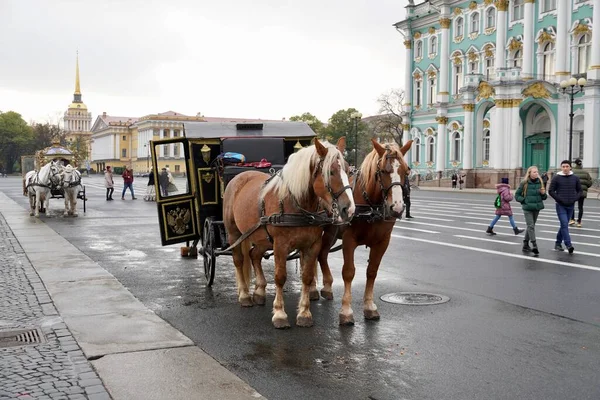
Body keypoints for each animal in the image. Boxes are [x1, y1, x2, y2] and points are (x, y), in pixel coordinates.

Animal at [224, 138, 356, 328]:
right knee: (239, 260)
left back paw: (259, 291)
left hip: (261, 238)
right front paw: (280, 313)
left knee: (254, 255)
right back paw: (244, 295)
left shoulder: (312, 245)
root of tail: (241, 176)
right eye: (330, 172)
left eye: (348, 169)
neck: (296, 204)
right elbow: (280, 277)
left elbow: (307, 277)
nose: (349, 209)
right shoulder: (280, 245)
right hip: (234, 234)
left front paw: (304, 313)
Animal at [310, 138, 412, 324]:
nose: (397, 207)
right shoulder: (349, 240)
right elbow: (349, 272)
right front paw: (346, 311)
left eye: (406, 170)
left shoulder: (382, 242)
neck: (370, 207)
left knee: (321, 255)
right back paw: (313, 288)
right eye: (383, 171)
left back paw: (327, 287)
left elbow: (372, 271)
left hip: (331, 233)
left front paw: (369, 306)